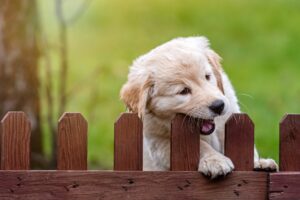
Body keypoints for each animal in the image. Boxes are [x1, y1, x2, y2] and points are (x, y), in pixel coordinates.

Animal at [119, 36, 276, 178]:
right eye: (183, 91)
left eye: (207, 76)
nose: (218, 106)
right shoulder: (158, 141)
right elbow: (201, 146)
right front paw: (215, 160)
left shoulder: (227, 116)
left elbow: (241, 142)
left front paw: (258, 162)